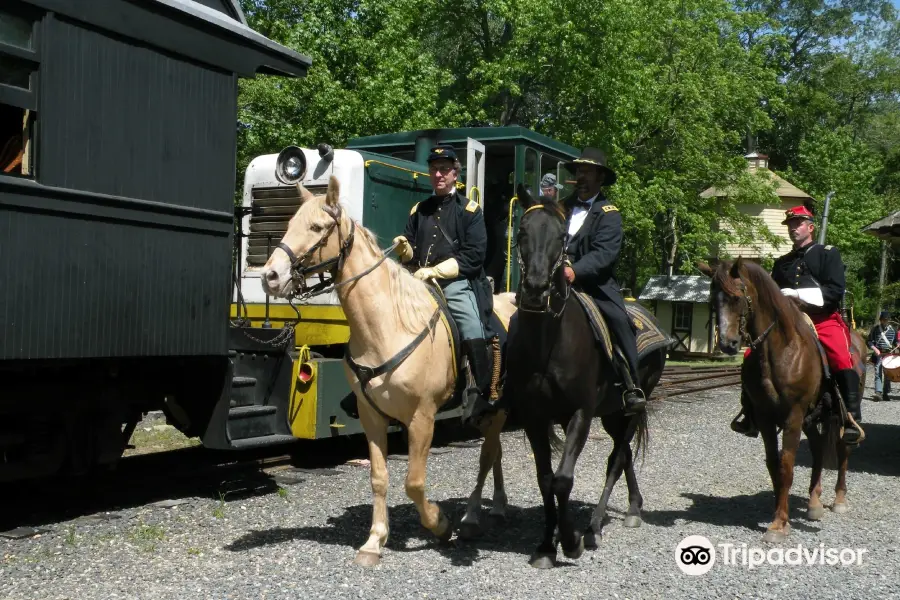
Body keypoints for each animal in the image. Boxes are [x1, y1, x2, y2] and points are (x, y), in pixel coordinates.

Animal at [260, 176, 512, 564]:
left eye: (316, 227)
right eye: (289, 225)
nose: (270, 276)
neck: (387, 326)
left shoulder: (422, 417)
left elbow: (414, 482)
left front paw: (440, 524)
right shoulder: (371, 415)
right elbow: (379, 477)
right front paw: (375, 540)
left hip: (496, 407)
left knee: (487, 455)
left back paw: (473, 516)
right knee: (494, 451)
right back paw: (492, 508)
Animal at [506, 186, 668, 568]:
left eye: (561, 237)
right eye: (522, 232)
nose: (536, 289)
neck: (547, 342)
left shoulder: (581, 412)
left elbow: (563, 480)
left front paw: (570, 541)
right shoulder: (535, 416)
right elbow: (545, 478)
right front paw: (545, 545)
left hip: (632, 405)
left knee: (617, 458)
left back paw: (595, 526)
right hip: (609, 413)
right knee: (623, 456)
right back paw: (632, 507)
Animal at [696, 258, 856, 544]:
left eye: (737, 297)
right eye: (712, 300)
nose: (727, 344)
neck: (779, 350)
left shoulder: (793, 416)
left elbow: (787, 464)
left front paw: (780, 524)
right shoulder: (765, 417)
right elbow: (774, 464)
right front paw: (777, 514)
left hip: (838, 416)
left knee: (842, 448)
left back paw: (839, 499)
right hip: (811, 418)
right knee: (817, 448)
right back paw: (814, 501)